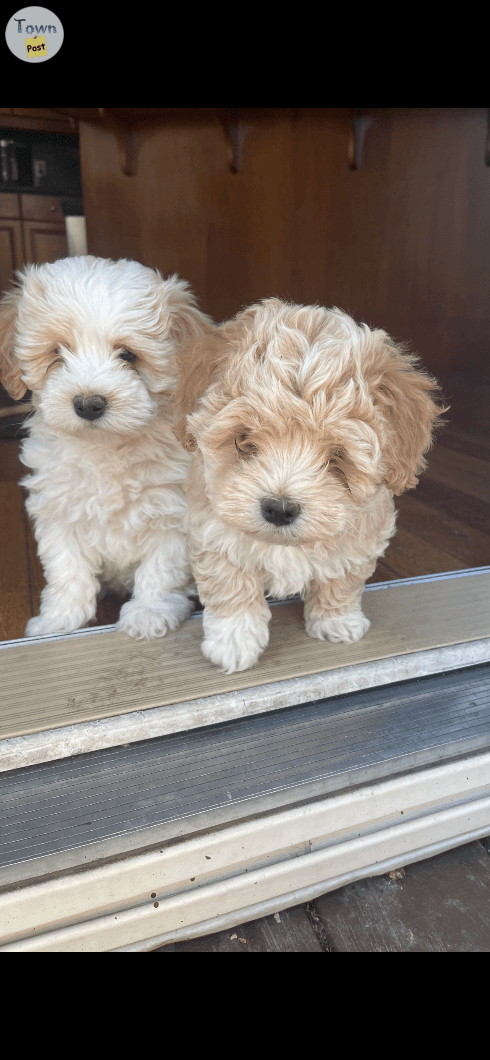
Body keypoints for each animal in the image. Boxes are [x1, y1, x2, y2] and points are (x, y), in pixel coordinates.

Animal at [0, 256, 211, 635]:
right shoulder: (58, 509)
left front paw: (149, 613)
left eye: (128, 355)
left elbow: (161, 567)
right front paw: (59, 620)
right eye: (58, 352)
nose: (88, 404)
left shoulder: (172, 513)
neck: (106, 448)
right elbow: (67, 569)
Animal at [173, 298, 445, 674]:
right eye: (243, 441)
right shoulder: (214, 532)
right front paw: (234, 642)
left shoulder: (360, 537)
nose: (279, 508)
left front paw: (336, 621)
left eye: (337, 457)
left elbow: (341, 578)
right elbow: (231, 584)